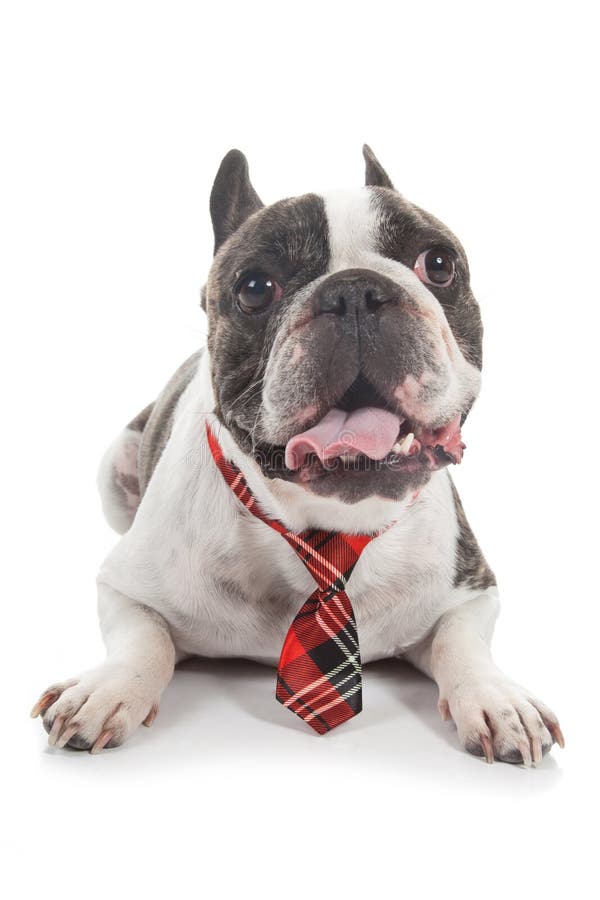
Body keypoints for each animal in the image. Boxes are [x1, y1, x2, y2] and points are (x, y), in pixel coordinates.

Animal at [30, 144, 564, 764]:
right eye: (254, 288)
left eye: (438, 264)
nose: (355, 290)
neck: (326, 534)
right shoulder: (123, 588)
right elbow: (144, 640)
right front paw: (107, 690)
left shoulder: (472, 591)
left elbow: (464, 642)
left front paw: (499, 700)